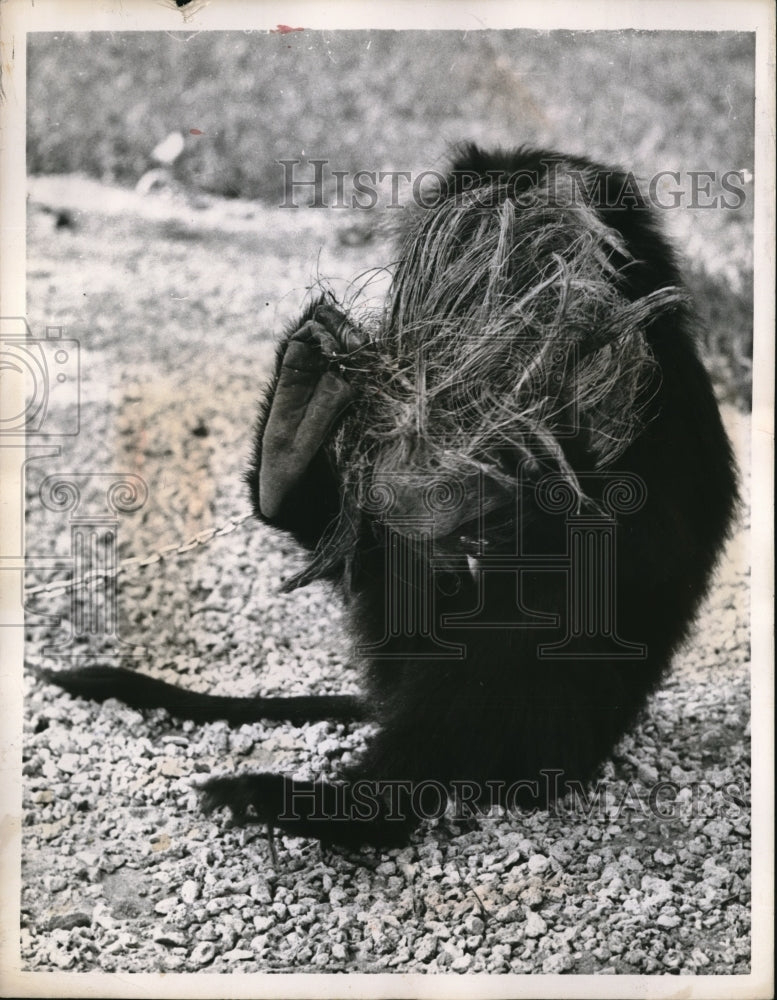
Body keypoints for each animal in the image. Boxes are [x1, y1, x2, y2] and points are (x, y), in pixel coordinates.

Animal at [41, 144, 738, 848]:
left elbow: (627, 557)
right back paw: (293, 441)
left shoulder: (660, 397)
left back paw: (351, 808)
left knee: (516, 634)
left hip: (561, 729)